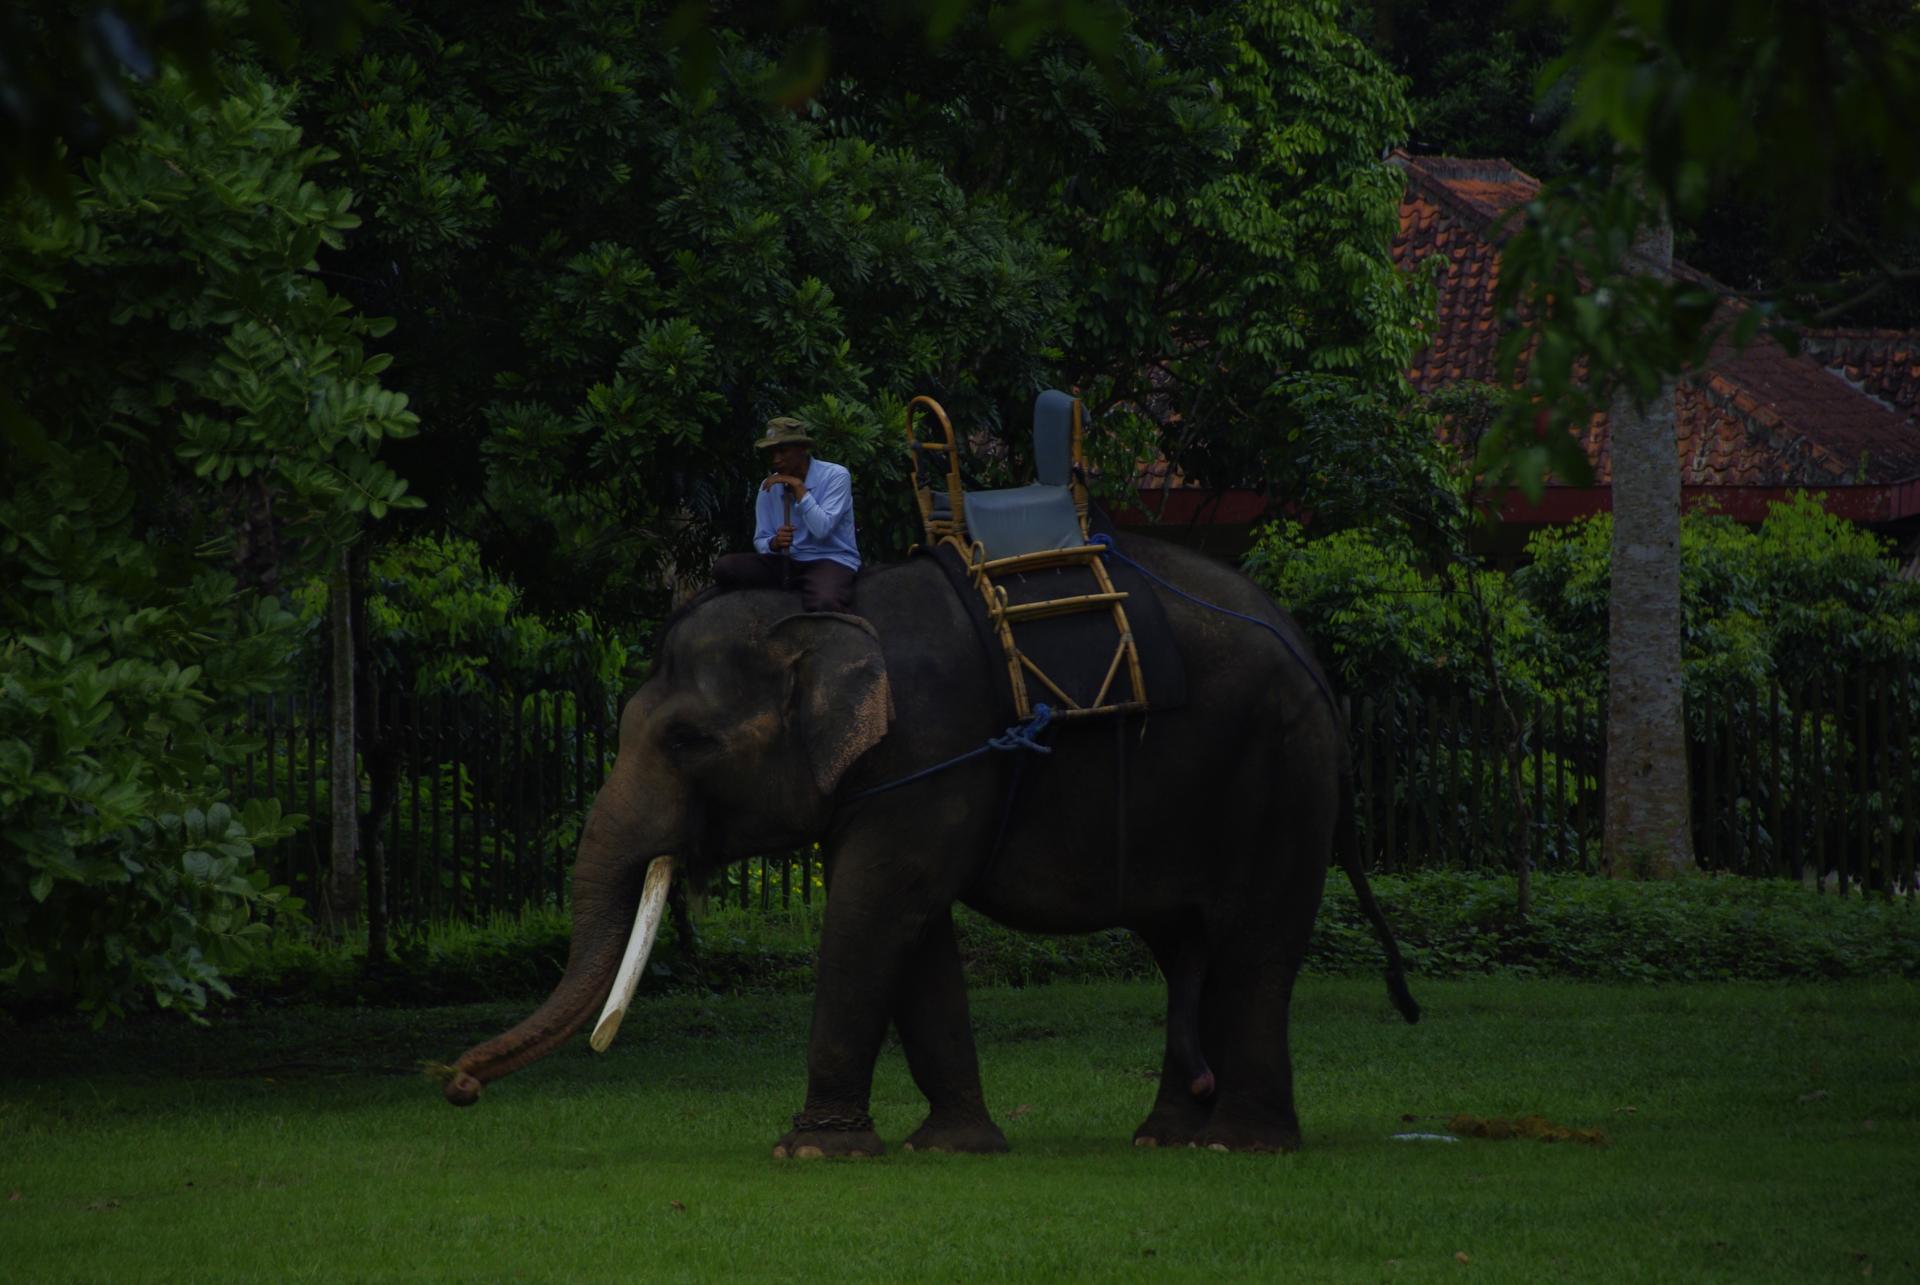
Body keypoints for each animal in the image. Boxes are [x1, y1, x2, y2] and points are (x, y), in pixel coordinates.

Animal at [441, 530, 1420, 1152]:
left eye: (687, 740)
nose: (458, 1086)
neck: (830, 615)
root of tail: (1312, 656)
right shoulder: (893, 778)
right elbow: (914, 936)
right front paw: (951, 1148)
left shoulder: (927, 753)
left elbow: (875, 913)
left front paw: (810, 1151)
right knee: (1188, 943)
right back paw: (1165, 1138)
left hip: (1282, 776)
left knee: (1254, 945)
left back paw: (1238, 1147)